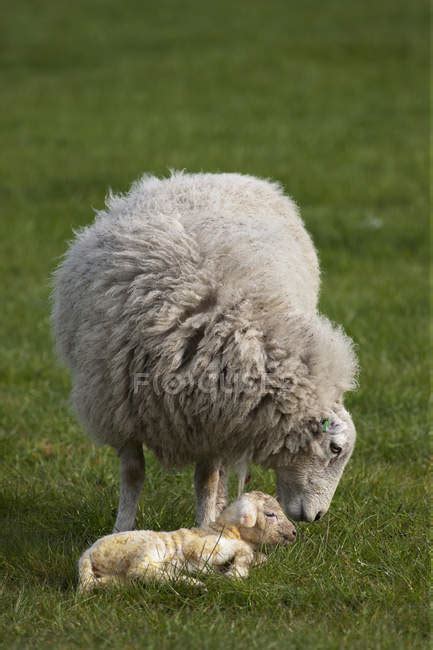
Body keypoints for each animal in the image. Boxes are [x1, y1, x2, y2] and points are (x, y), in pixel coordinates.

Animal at [51, 170, 358, 528]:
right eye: (335, 449)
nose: (317, 516)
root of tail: (221, 175)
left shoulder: (213, 419)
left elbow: (207, 479)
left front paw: (204, 528)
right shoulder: (120, 410)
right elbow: (132, 473)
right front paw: (121, 528)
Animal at [77, 488, 296, 588]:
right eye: (270, 514)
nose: (295, 532)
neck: (224, 530)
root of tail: (87, 553)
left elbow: (259, 557)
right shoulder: (203, 547)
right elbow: (244, 551)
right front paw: (234, 574)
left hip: (114, 575)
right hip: (147, 547)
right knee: (140, 570)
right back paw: (192, 581)